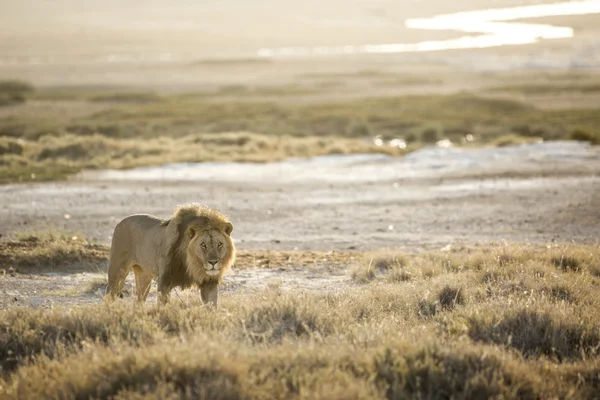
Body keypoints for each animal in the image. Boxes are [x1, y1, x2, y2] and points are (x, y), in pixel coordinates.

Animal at [103, 203, 234, 306]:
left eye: (219, 244)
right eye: (203, 245)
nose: (213, 262)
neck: (192, 264)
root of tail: (120, 222)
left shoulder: (209, 283)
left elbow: (212, 305)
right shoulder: (165, 281)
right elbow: (163, 306)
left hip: (144, 276)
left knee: (139, 300)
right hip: (117, 271)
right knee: (110, 294)